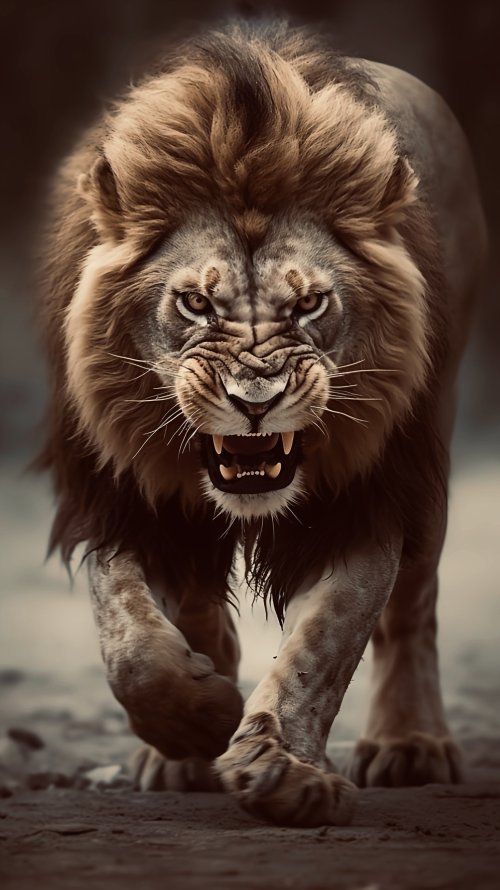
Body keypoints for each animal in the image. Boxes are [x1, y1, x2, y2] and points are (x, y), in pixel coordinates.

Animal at [37, 20, 487, 826]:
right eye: (195, 303)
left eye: (309, 304)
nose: (255, 399)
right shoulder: (115, 491)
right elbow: (129, 640)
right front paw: (199, 717)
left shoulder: (367, 498)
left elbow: (324, 645)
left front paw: (281, 770)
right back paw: (183, 742)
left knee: (415, 609)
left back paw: (410, 745)